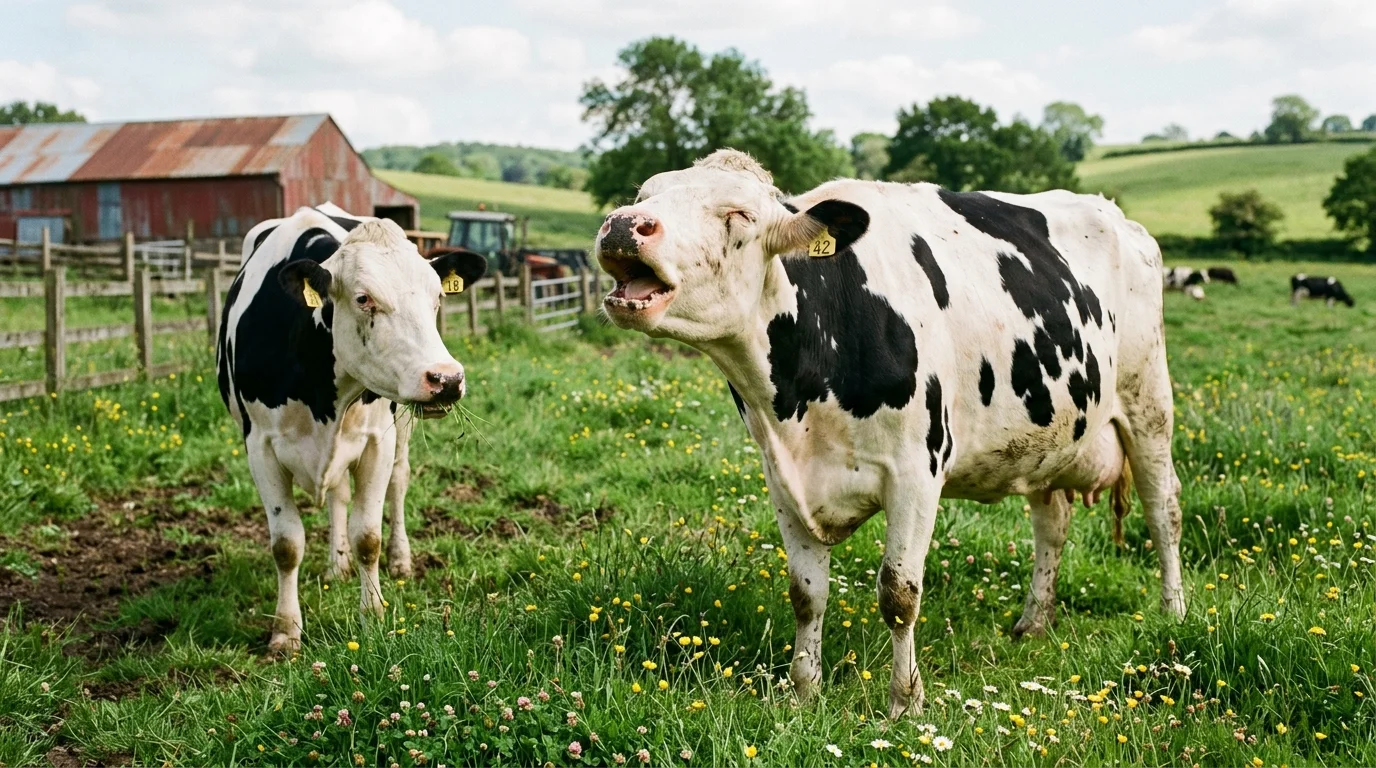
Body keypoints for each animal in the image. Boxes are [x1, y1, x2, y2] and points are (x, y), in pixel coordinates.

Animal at [217, 203, 487, 654]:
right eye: (364, 299)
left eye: (437, 299)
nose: (447, 379)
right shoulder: (260, 447)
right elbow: (287, 544)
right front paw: (286, 631)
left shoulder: (378, 441)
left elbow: (368, 536)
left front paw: (374, 614)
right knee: (338, 495)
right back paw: (336, 564)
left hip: (397, 431)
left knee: (399, 482)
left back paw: (399, 559)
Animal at [595, 150, 1184, 718]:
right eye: (644, 195)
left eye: (738, 213)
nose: (623, 224)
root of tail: (1118, 215)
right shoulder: (783, 477)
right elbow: (805, 593)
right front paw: (802, 692)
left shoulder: (916, 472)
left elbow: (899, 595)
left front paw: (905, 702)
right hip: (1047, 435)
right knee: (1053, 523)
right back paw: (1033, 622)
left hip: (1148, 401)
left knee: (1164, 510)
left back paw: (1174, 614)